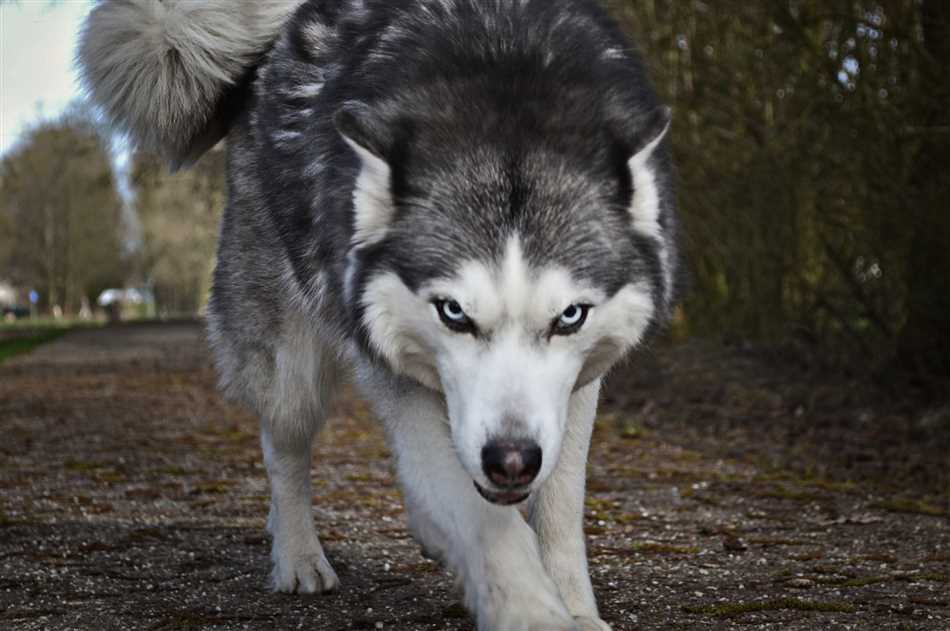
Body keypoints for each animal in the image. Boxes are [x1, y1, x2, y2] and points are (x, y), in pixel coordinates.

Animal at [80, 2, 676, 628]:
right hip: (290, 368)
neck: (505, 73)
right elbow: (487, 522)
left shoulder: (574, 392)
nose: (511, 462)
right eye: (453, 312)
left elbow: (558, 507)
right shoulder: (396, 374)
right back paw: (298, 557)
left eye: (569, 317)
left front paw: (576, 609)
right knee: (283, 449)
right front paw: (532, 610)